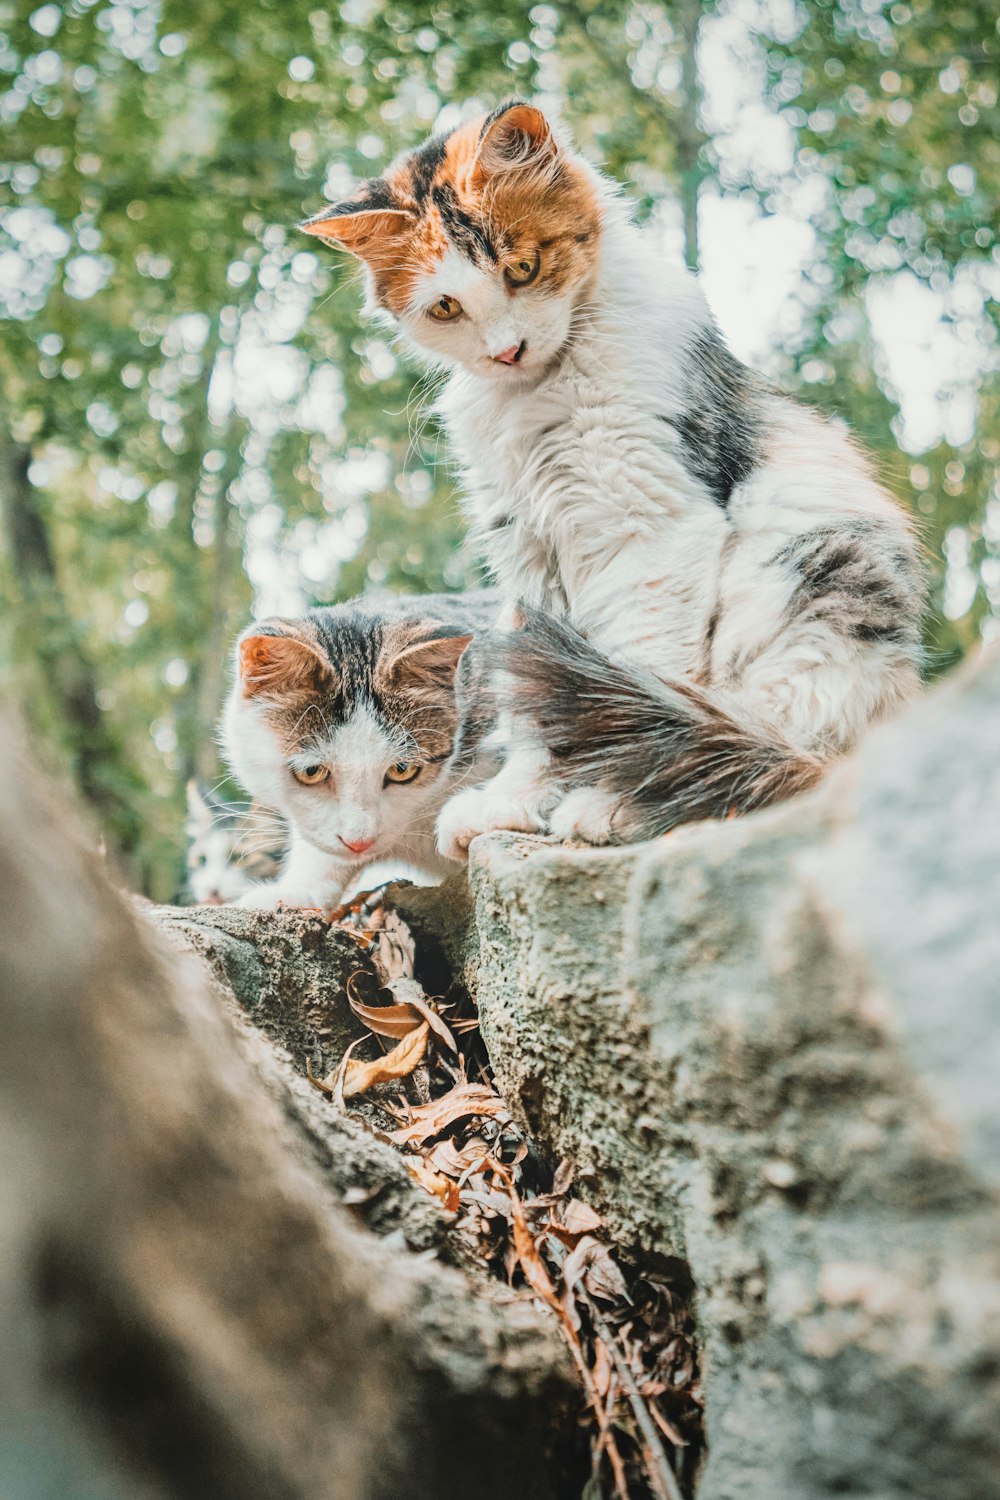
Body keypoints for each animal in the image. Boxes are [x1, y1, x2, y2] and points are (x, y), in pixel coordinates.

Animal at [301, 102, 929, 858]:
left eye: (523, 267)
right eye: (446, 307)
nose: (507, 351)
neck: (537, 395)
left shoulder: (649, 524)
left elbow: (638, 676)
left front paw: (605, 798)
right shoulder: (529, 548)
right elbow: (542, 715)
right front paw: (516, 804)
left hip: (816, 583)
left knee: (767, 756)